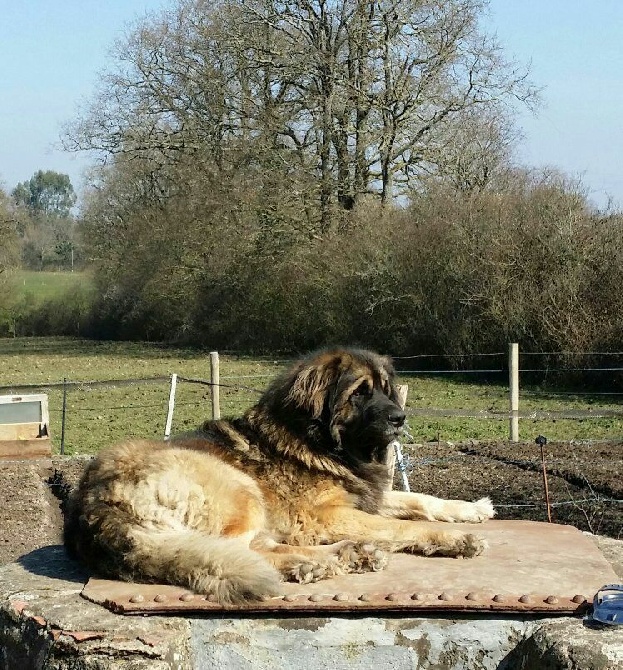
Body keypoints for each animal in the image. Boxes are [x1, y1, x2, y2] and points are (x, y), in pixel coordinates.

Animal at [62, 350, 492, 608]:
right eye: (359, 393)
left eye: (388, 392)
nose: (400, 418)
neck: (317, 440)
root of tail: (92, 506)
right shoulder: (324, 516)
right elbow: (403, 527)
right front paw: (455, 539)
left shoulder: (364, 494)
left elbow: (420, 500)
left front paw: (471, 509)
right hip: (239, 488)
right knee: (239, 549)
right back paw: (327, 559)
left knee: (258, 546)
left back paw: (342, 556)